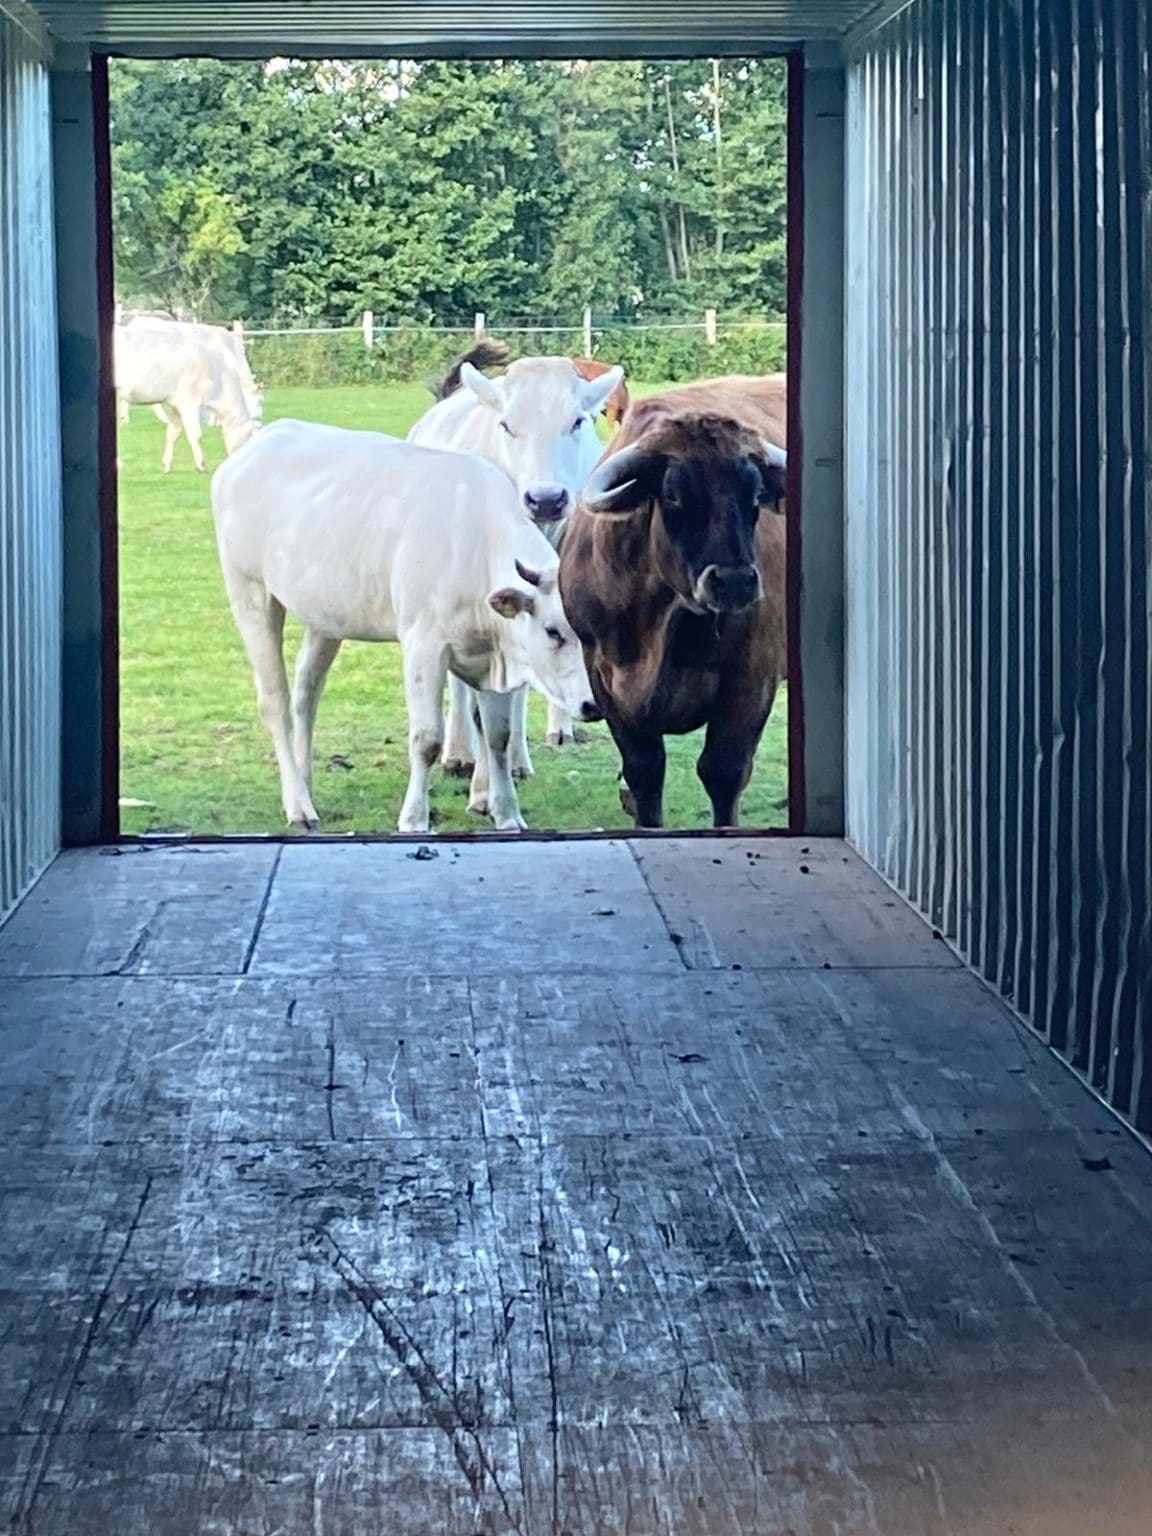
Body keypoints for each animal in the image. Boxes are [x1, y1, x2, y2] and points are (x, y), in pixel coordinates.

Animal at [115, 316, 262, 472]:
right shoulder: (190, 402)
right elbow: (196, 434)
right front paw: (202, 465)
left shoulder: (176, 404)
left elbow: (173, 432)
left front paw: (167, 464)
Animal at [212, 419, 599, 834]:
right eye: (553, 631)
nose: (593, 704)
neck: (475, 544)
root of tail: (259, 443)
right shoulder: (423, 644)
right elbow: (427, 738)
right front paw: (414, 818)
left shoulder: (493, 654)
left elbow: (498, 735)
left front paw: (507, 814)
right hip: (249, 592)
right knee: (275, 700)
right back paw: (298, 805)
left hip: (326, 616)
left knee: (306, 691)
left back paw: (305, 782)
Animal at [559, 373, 789, 830]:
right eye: (673, 493)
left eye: (755, 493)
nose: (734, 581)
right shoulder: (604, 679)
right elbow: (644, 773)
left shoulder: (753, 677)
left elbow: (723, 771)